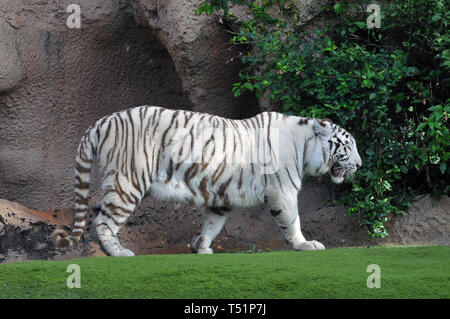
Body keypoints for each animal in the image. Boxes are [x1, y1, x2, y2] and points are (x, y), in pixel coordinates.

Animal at [51, 106, 362, 256]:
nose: (360, 164)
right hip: (128, 181)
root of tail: (103, 121)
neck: (305, 146)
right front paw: (305, 245)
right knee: (103, 221)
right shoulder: (282, 190)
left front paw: (200, 245)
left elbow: (213, 224)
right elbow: (292, 220)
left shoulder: (222, 197)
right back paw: (118, 253)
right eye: (348, 146)